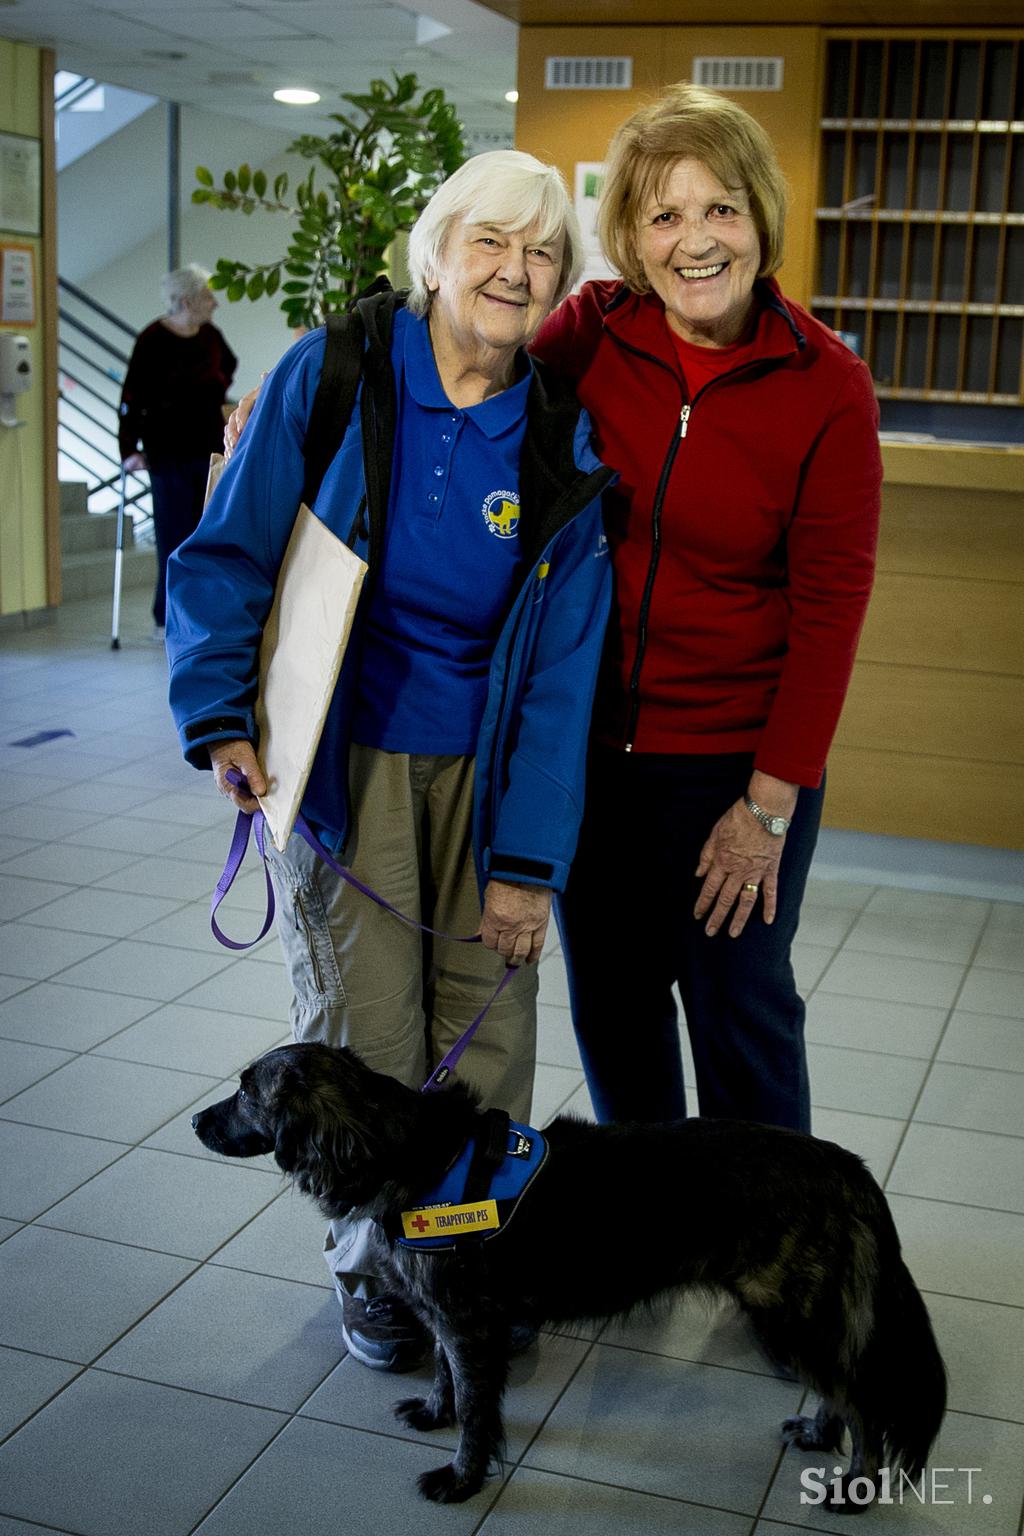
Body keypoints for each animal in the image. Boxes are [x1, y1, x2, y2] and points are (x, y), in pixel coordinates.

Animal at [191, 1038, 945, 1505]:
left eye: (246, 1093)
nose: (196, 1121)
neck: (411, 1152)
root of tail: (845, 1166)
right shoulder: (447, 1319)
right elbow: (445, 1382)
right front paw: (433, 1414)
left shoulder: (467, 1323)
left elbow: (476, 1411)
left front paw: (462, 1479)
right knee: (843, 1393)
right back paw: (819, 1435)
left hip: (792, 1315)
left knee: (865, 1402)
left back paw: (854, 1487)